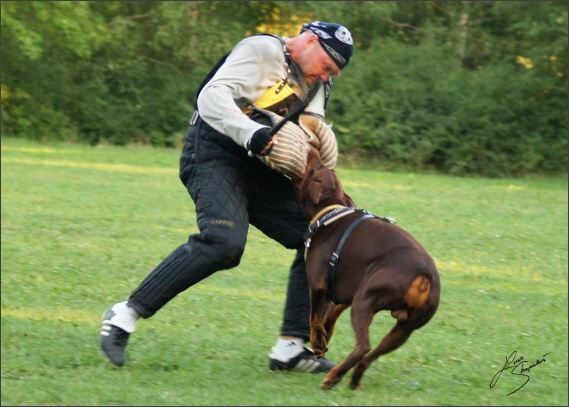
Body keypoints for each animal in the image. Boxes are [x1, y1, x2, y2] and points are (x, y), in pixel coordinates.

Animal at [296, 148, 442, 390]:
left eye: (315, 167)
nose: (312, 149)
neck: (329, 211)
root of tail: (424, 275)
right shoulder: (346, 292)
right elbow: (330, 316)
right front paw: (324, 340)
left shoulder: (318, 285)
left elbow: (314, 318)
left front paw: (317, 342)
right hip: (405, 327)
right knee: (370, 356)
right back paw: (349, 379)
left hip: (365, 299)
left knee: (363, 347)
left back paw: (332, 378)